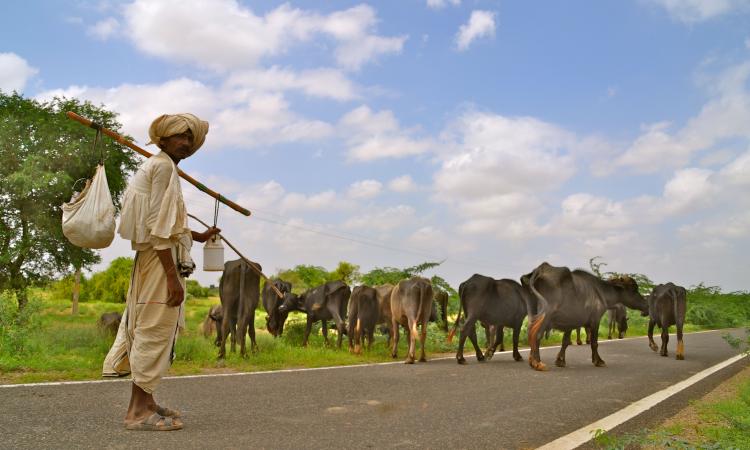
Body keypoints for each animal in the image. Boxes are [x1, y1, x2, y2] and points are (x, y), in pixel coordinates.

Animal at [524, 262, 652, 370]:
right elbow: (594, 343)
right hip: (546, 314)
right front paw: (598, 361)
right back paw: (537, 362)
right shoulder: (595, 320)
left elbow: (565, 342)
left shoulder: (570, 322)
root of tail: (541, 269)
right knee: (536, 334)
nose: (646, 305)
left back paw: (531, 360)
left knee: (530, 331)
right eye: (634, 289)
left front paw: (560, 361)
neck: (601, 292)